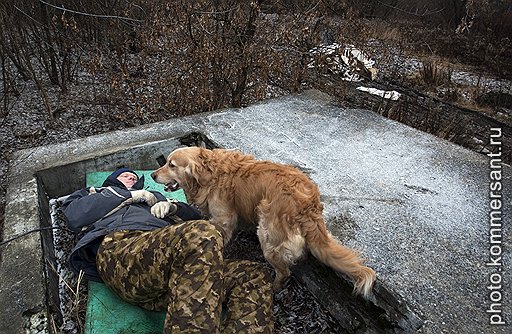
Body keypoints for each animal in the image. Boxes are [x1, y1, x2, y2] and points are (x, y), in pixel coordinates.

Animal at [152, 146, 376, 298]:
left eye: (171, 165)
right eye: (166, 162)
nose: (153, 174)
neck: (210, 173)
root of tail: (307, 202)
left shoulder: (224, 219)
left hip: (267, 236)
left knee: (284, 272)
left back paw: (275, 288)